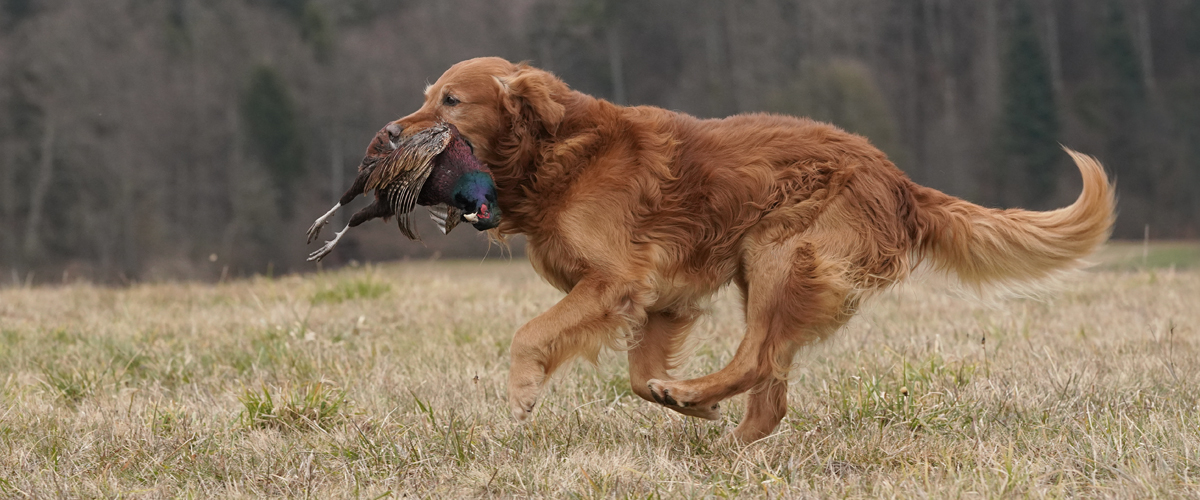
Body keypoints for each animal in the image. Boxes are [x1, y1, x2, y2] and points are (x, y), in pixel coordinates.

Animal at [391, 56, 1113, 441]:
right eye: (425, 96)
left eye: (451, 100)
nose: (393, 134)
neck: (555, 154)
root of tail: (899, 180)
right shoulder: (661, 298)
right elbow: (636, 376)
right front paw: (691, 405)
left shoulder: (615, 282)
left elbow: (531, 334)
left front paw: (521, 393)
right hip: (764, 269)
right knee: (770, 393)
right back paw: (727, 435)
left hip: (778, 255)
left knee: (760, 359)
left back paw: (698, 396)